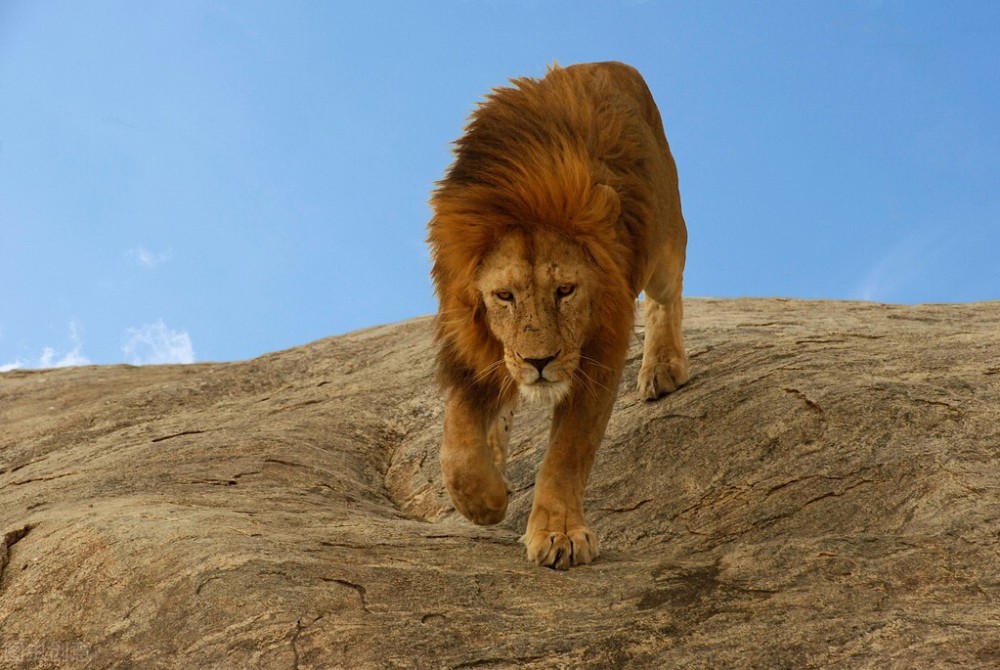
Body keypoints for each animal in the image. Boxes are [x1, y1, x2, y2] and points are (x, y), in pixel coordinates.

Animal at [422, 61, 688, 572]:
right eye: (504, 296)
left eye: (565, 290)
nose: (539, 362)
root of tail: (608, 63)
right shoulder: (472, 346)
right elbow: (457, 452)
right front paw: (487, 500)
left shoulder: (596, 354)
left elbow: (568, 452)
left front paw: (559, 533)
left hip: (663, 244)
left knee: (668, 294)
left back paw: (663, 366)